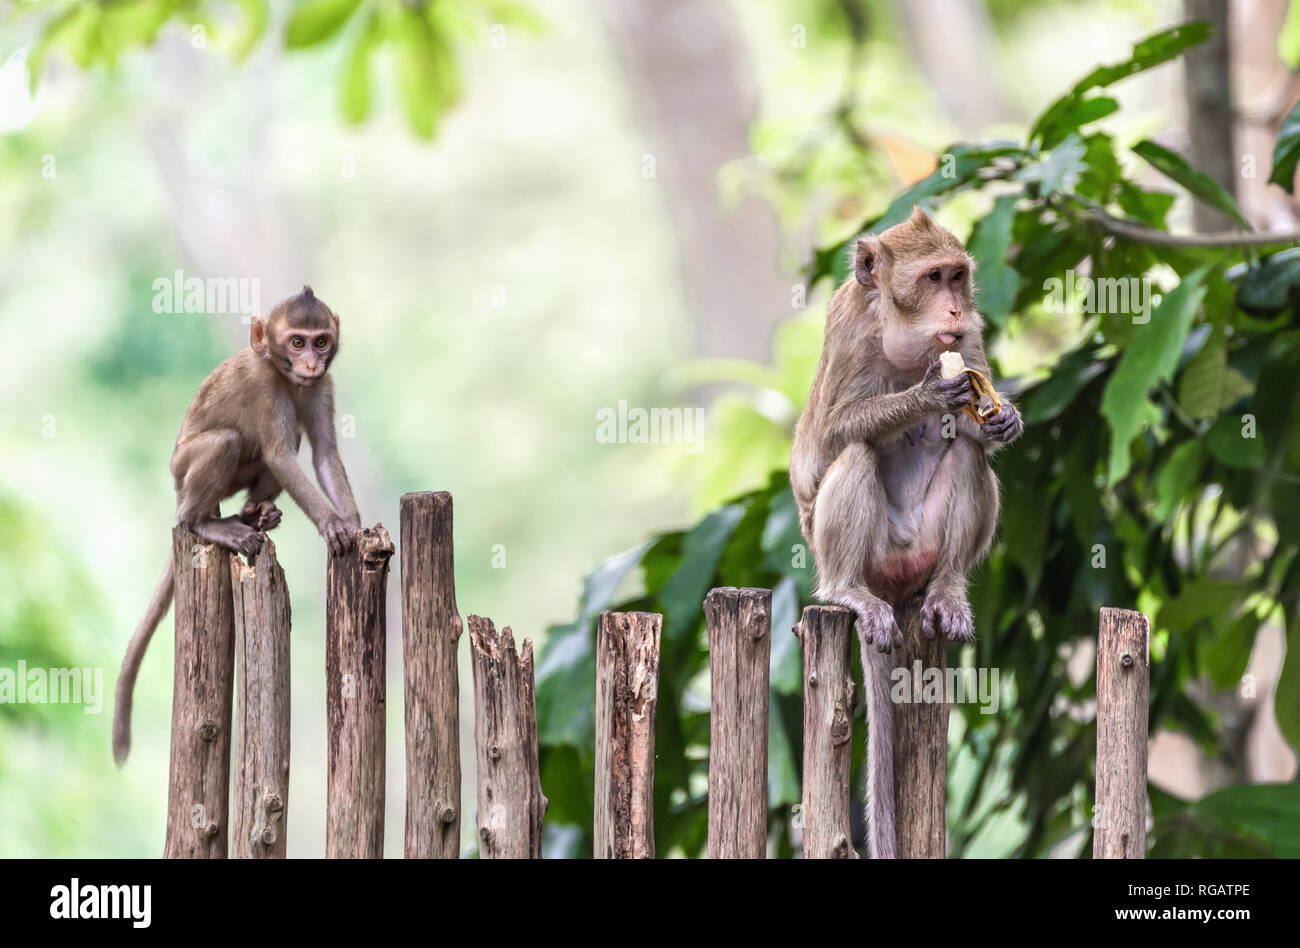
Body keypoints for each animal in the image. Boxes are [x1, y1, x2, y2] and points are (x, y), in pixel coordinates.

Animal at [113, 284, 361, 764]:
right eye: (297, 342)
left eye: (320, 342)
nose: (311, 363)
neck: (284, 376)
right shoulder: (266, 388)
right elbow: (282, 455)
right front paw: (332, 525)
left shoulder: (322, 386)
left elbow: (322, 453)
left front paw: (356, 525)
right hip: (185, 470)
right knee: (228, 444)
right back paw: (206, 524)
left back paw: (253, 513)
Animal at [785, 209, 1019, 858]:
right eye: (932, 277)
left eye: (958, 276)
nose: (955, 309)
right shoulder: (847, 325)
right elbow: (835, 432)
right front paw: (928, 394)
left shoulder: (967, 343)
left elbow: (978, 429)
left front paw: (1004, 418)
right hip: (866, 556)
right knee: (857, 451)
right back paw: (846, 591)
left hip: (923, 552)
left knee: (966, 455)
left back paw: (947, 590)